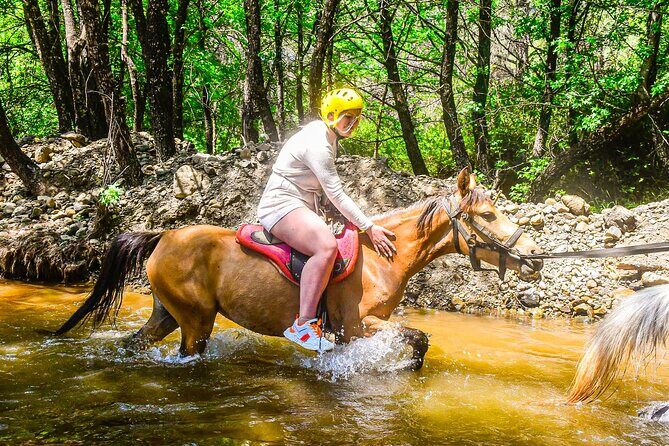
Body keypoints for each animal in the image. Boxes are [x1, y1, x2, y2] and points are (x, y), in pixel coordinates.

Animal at [53, 167, 544, 369]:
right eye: (487, 215)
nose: (536, 257)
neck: (383, 259)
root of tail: (162, 236)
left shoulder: (359, 329)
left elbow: (416, 342)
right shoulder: (358, 324)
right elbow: (418, 339)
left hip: (167, 314)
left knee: (134, 343)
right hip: (195, 322)